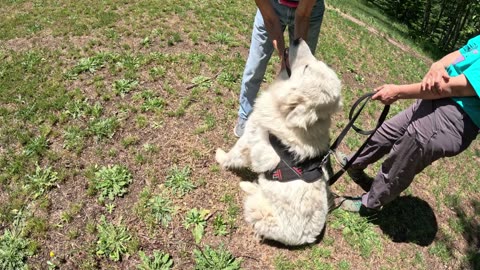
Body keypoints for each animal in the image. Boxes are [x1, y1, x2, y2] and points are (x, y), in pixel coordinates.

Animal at [214, 39, 342, 246]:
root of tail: (307, 239)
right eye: (312, 64)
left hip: (256, 208)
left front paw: (220, 157)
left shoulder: (250, 140)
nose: (297, 39)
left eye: (306, 67)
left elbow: (233, 154)